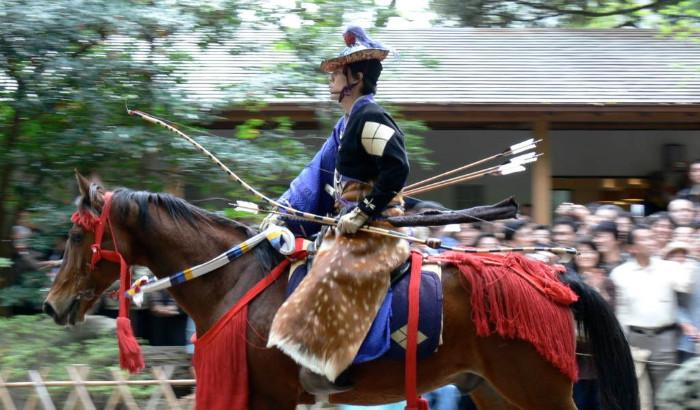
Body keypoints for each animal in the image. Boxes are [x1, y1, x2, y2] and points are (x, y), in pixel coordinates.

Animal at [45, 173, 640, 410]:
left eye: (75, 235)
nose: (53, 305)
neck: (234, 282)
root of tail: (556, 277)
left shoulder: (270, 395)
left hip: (540, 388)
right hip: (493, 389)